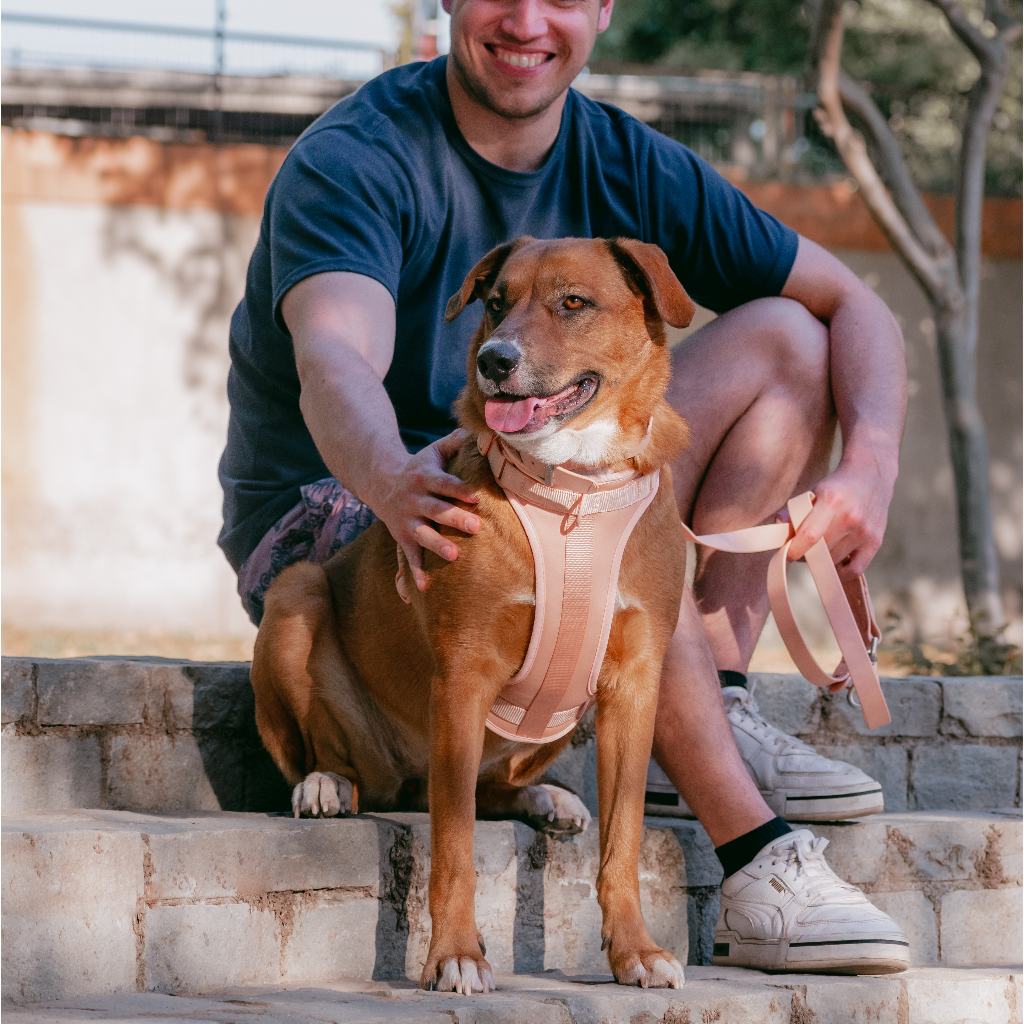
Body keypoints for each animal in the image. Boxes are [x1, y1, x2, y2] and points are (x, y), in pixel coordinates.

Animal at [250, 234, 692, 991]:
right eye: (496, 303)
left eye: (573, 302)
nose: (495, 360)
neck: (574, 487)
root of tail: (401, 778)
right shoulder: (463, 675)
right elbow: (454, 844)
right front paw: (454, 955)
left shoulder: (634, 685)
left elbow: (624, 840)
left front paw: (634, 950)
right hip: (296, 591)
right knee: (334, 756)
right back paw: (326, 783)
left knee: (492, 788)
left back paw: (546, 798)